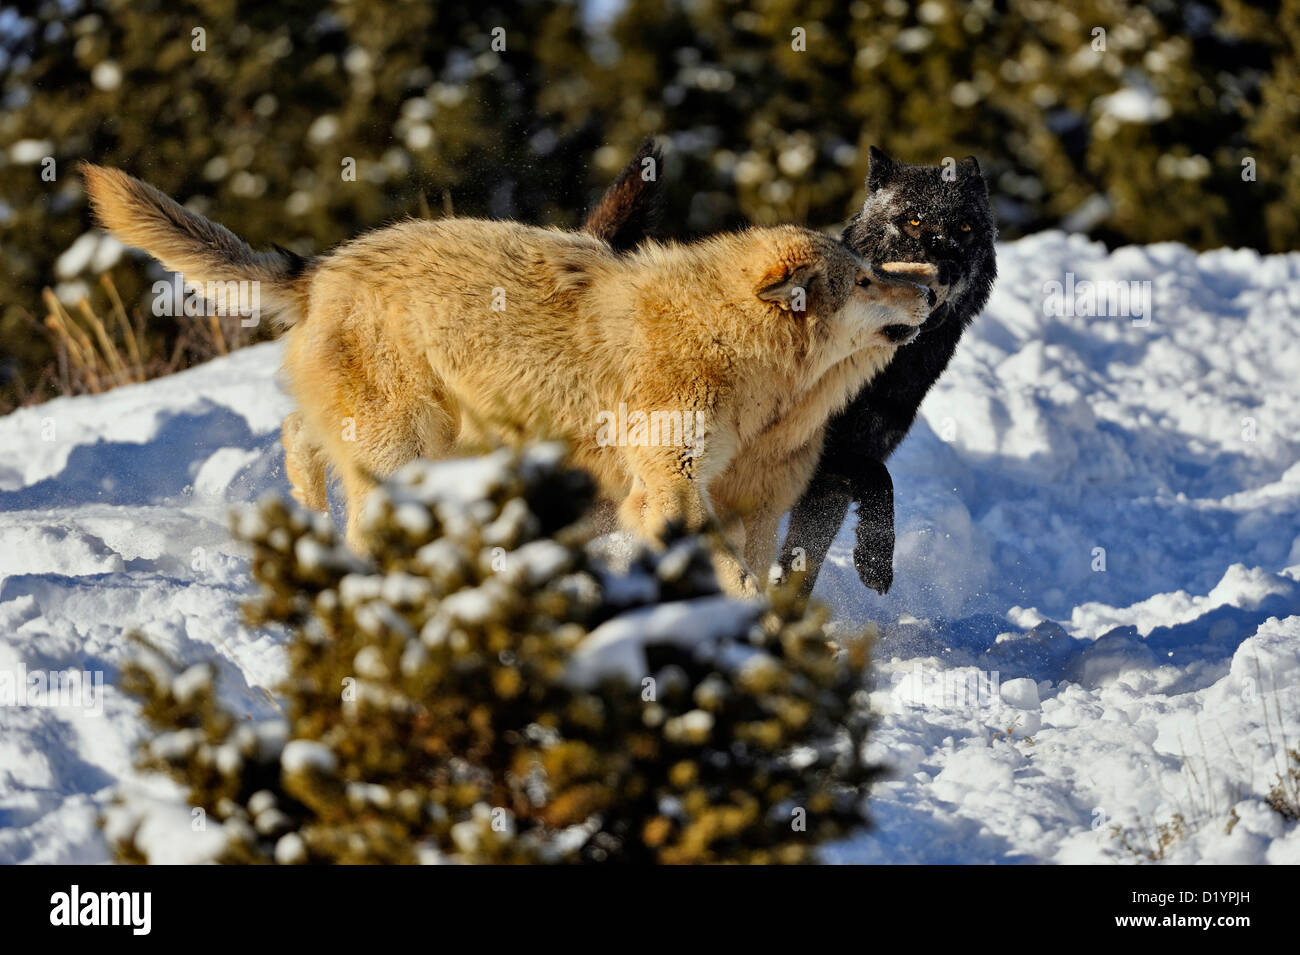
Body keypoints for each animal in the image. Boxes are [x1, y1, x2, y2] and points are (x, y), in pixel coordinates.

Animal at [82, 163, 939, 596]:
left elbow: (753, 574)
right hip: (404, 449)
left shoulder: (746, 502)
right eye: (866, 280)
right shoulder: (667, 489)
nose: (929, 291)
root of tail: (322, 267)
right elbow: (733, 578)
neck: (731, 348)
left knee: (299, 437)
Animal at [583, 143, 997, 595]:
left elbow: (812, 550)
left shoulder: (830, 469)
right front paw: (874, 561)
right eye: (913, 220)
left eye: (964, 227)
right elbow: (879, 479)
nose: (947, 270)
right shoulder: (815, 457)